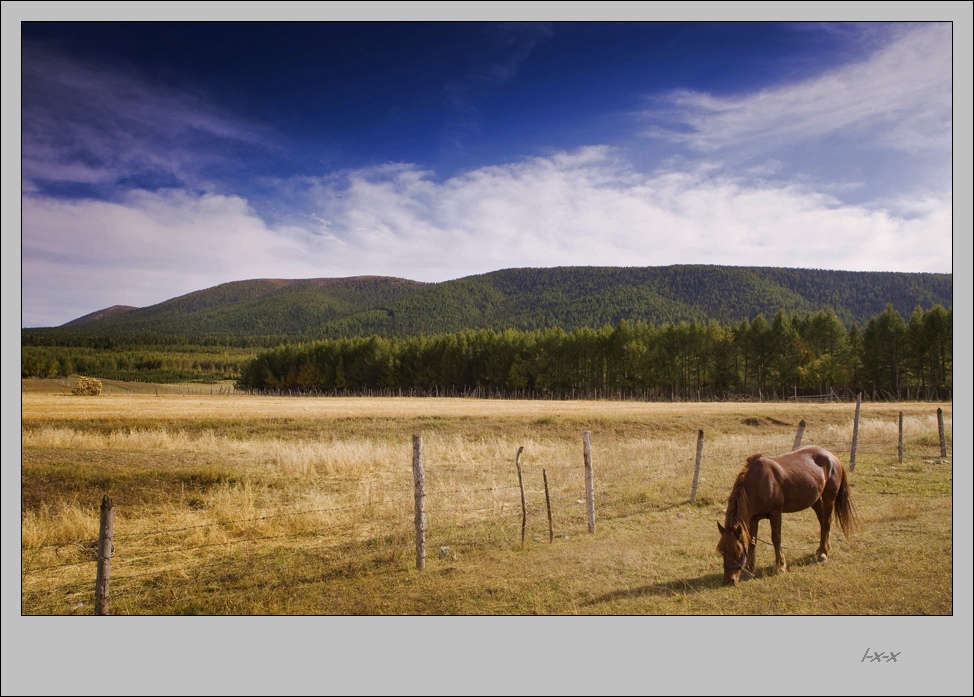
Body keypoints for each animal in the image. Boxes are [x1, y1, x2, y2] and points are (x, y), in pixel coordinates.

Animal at [712, 444, 856, 584]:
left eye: (737, 552)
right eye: (722, 552)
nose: (729, 580)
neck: (758, 483)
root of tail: (832, 456)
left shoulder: (775, 513)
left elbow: (776, 539)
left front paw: (780, 566)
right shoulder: (753, 518)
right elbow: (753, 542)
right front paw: (750, 569)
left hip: (829, 497)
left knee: (826, 523)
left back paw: (823, 554)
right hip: (814, 499)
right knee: (822, 521)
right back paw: (822, 548)